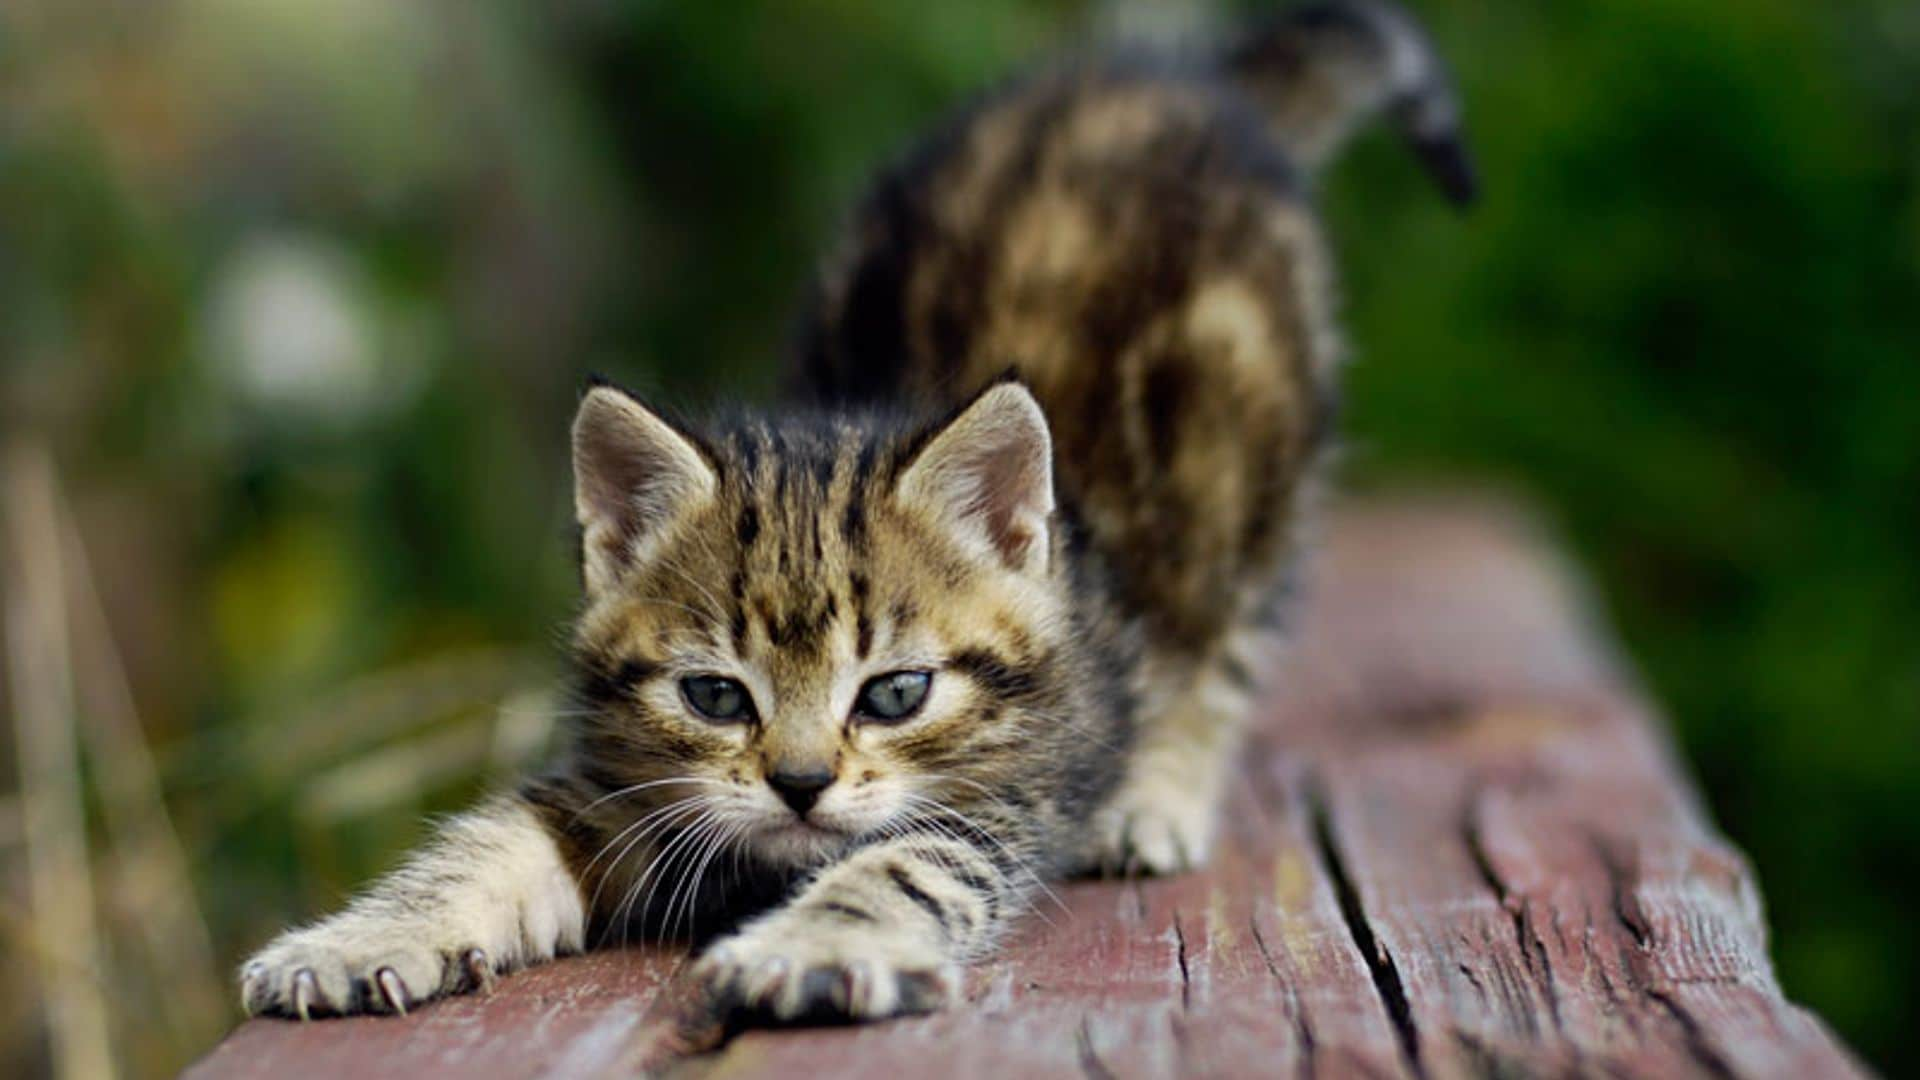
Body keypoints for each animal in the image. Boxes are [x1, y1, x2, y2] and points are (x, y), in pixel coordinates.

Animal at [240, 0, 1466, 1022]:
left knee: (1227, 636)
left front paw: (814, 945)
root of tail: (1181, 81)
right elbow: (487, 840)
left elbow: (908, 863)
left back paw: (1155, 796)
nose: (799, 785)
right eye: (715, 696)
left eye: (896, 694)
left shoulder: (1004, 792)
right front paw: (363, 937)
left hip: (1252, 457)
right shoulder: (626, 782)